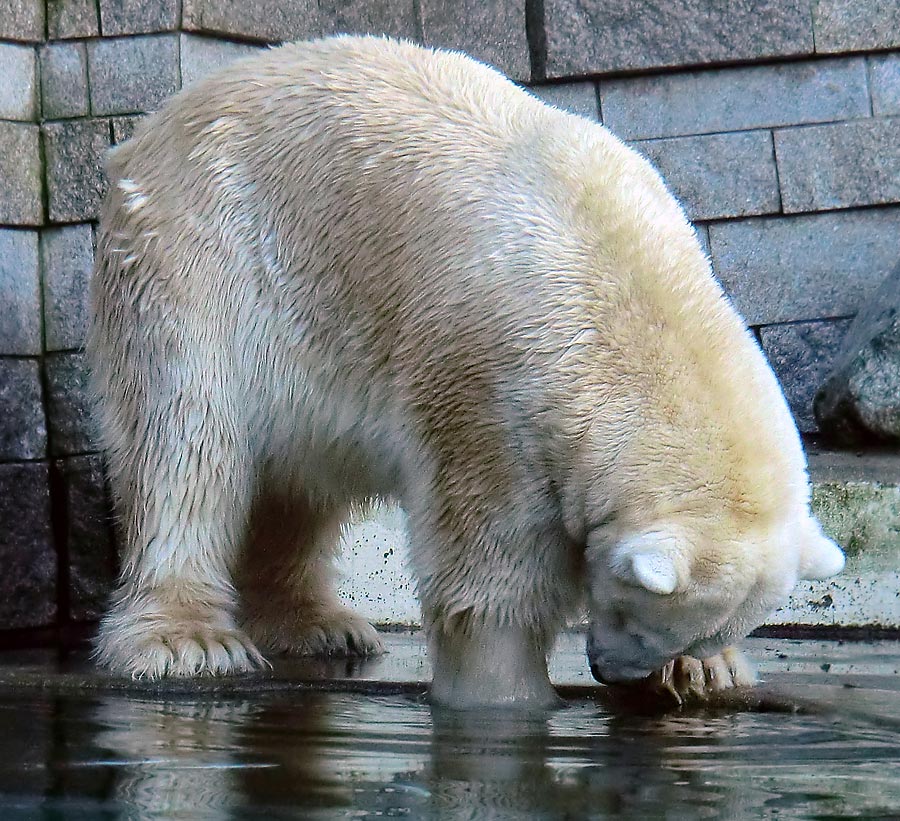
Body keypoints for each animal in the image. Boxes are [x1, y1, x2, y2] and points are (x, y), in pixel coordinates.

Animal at [86, 35, 844, 708]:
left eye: (680, 630)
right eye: (634, 613)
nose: (609, 671)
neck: (633, 294)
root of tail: (145, 134)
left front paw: (710, 670)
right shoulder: (493, 385)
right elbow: (486, 568)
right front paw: (504, 689)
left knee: (300, 481)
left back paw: (320, 625)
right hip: (201, 265)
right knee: (188, 444)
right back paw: (188, 640)